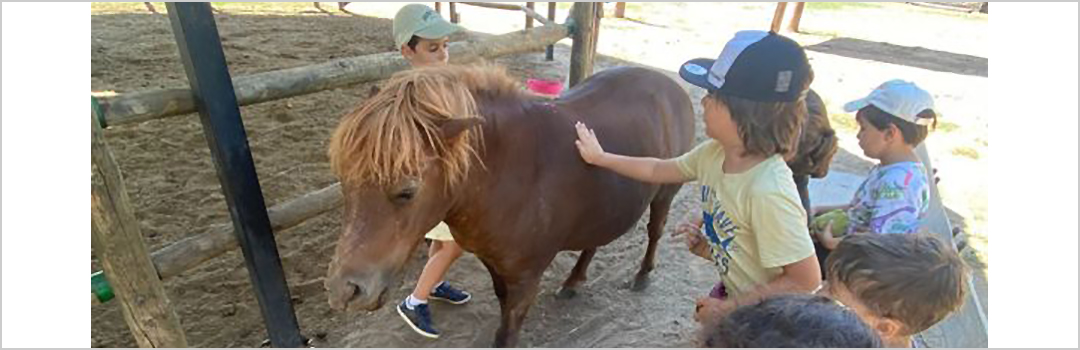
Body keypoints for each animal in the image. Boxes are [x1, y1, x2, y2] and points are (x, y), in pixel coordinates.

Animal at [324, 64, 691, 345]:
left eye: (407, 191)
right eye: (344, 181)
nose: (345, 291)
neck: (511, 173)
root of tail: (669, 85)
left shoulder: (526, 279)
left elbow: (508, 331)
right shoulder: (496, 265)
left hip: (664, 194)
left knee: (655, 231)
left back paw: (642, 275)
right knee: (594, 240)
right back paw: (573, 281)